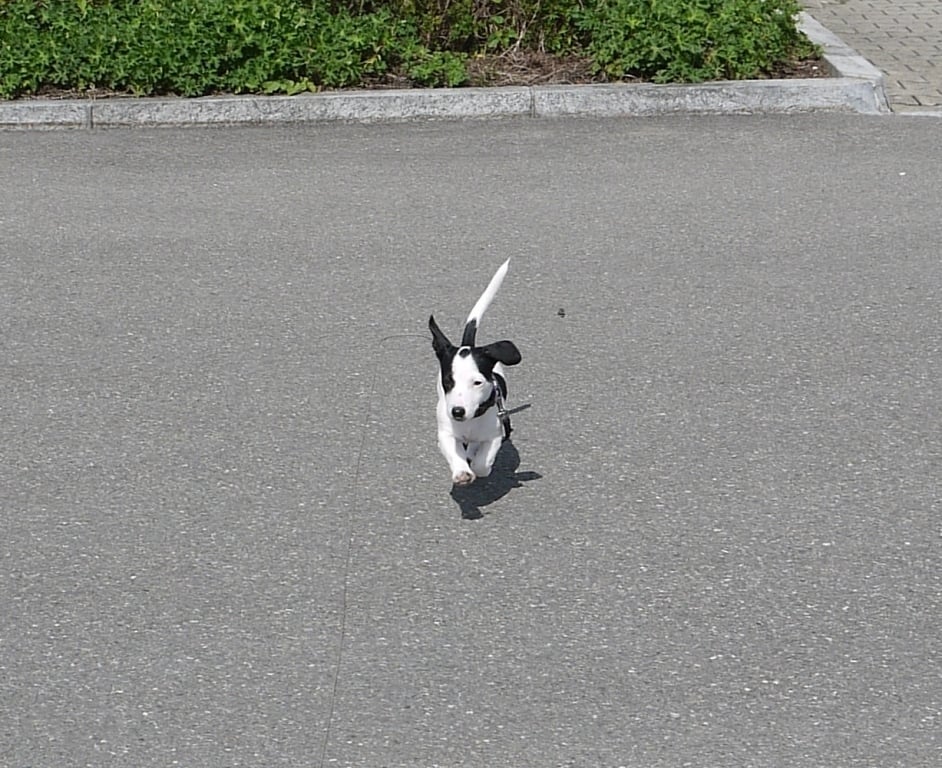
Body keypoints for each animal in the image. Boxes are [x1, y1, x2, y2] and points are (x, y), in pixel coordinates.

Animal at [429, 259, 522, 486]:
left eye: (477, 383)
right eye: (448, 381)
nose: (457, 412)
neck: (471, 420)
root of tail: (468, 345)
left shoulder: (495, 435)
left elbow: (482, 462)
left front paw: (479, 467)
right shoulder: (445, 433)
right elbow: (454, 452)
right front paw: (462, 471)